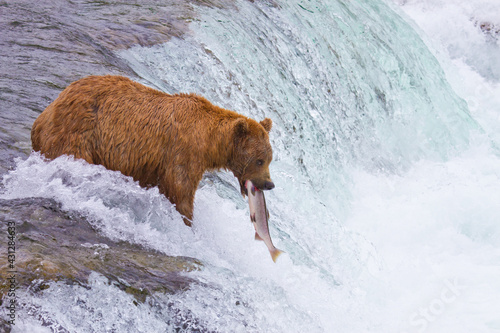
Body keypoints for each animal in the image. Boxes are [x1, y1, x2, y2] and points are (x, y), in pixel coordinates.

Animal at [32, 75, 274, 226]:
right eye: (260, 160)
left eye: (269, 159)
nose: (269, 184)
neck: (211, 142)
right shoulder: (183, 152)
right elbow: (180, 192)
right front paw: (187, 223)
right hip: (78, 131)